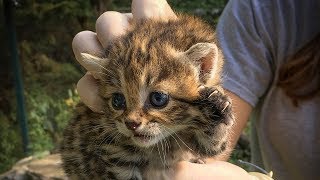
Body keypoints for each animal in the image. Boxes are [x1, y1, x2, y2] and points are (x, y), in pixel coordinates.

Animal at [60, 13, 235, 180]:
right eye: (117, 100)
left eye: (158, 98)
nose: (131, 124)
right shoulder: (115, 158)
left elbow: (213, 144)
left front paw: (217, 104)